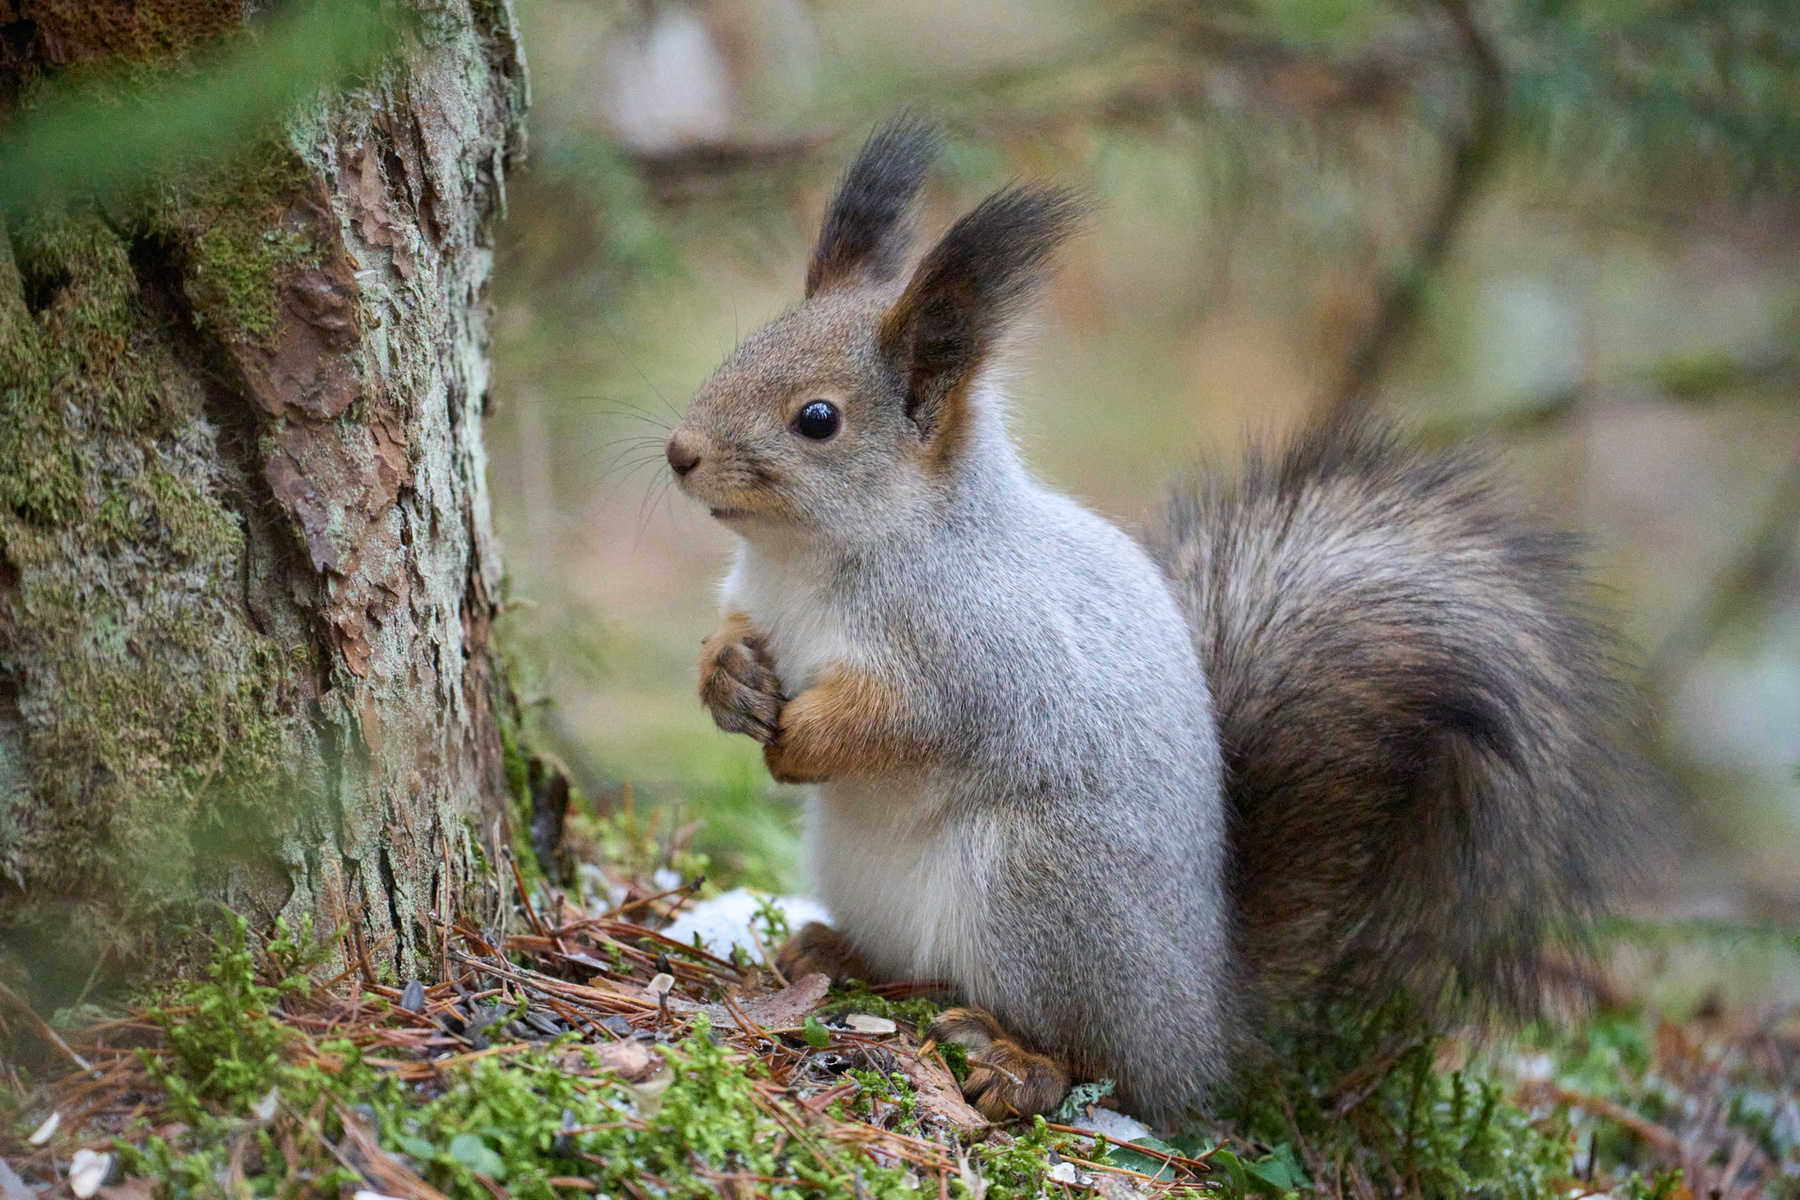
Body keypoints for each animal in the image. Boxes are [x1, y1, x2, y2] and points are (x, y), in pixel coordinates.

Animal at [663, 116, 1643, 1123]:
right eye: (741, 349)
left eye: (818, 419)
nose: (680, 453)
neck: (808, 559)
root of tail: (1201, 1022)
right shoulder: (758, 599)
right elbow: (729, 637)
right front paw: (729, 681)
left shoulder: (980, 648)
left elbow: (908, 720)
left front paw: (802, 742)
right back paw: (834, 951)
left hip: (1042, 893)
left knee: (1101, 1060)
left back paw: (1018, 1060)